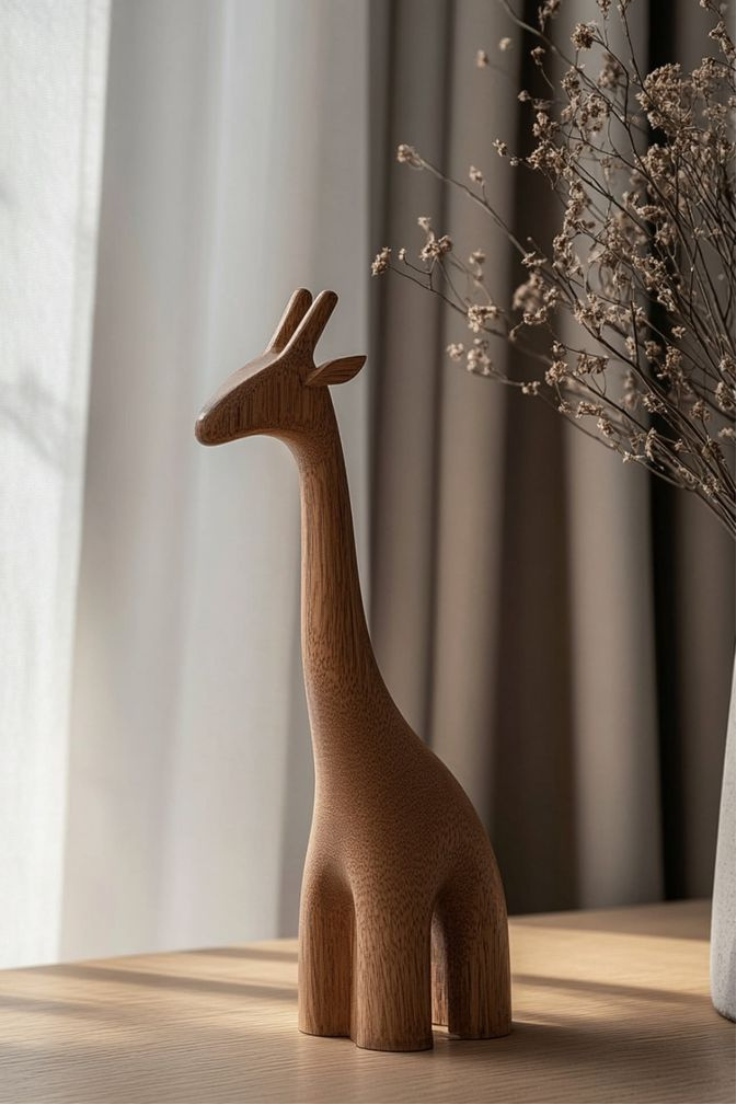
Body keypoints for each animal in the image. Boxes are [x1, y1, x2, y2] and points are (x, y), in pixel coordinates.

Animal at [195, 288, 511, 1052]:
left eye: (264, 386)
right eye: (243, 370)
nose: (201, 421)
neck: (349, 752)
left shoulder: (386, 885)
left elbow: (384, 991)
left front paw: (386, 1046)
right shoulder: (322, 890)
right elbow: (317, 976)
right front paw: (323, 1034)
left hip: (475, 883)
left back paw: (479, 1031)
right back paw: (448, 1021)